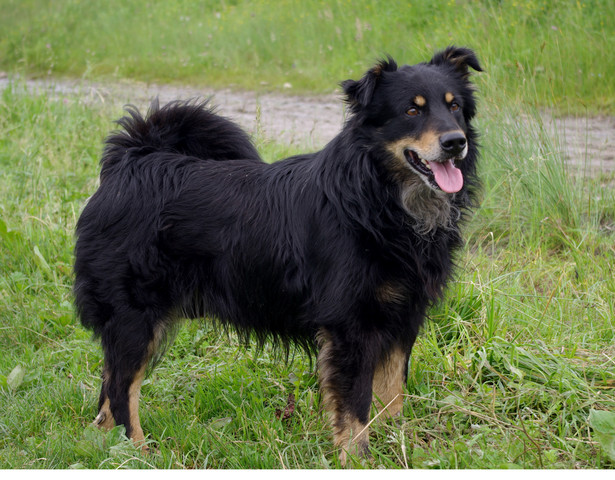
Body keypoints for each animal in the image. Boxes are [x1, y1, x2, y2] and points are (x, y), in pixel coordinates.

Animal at [74, 47, 484, 464]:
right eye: (412, 111)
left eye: (454, 107)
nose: (455, 142)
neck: (376, 200)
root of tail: (129, 161)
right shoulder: (351, 327)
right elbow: (355, 407)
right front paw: (359, 459)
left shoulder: (403, 316)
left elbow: (392, 394)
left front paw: (395, 445)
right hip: (134, 315)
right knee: (122, 391)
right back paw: (139, 453)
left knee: (108, 393)